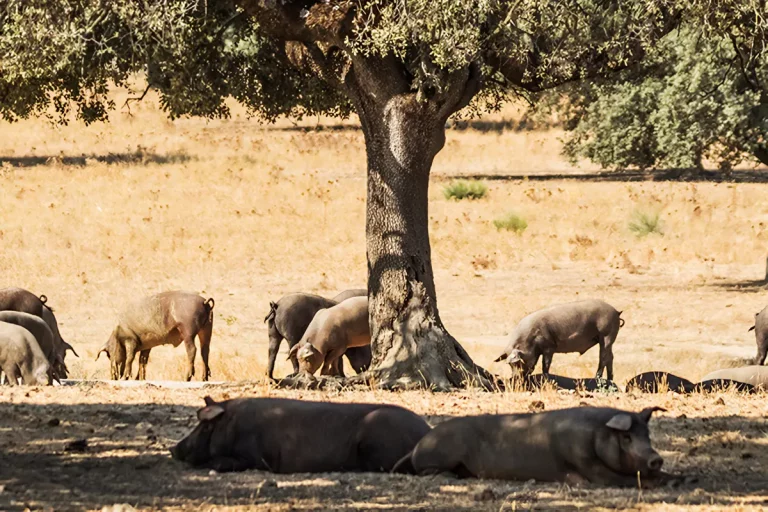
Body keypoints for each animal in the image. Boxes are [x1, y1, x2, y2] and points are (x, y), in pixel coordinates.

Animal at [392, 406, 676, 487]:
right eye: (626, 438)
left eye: (646, 434)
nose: (656, 459)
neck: (597, 435)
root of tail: (416, 447)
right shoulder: (586, 463)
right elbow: (618, 479)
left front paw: (677, 478)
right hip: (439, 455)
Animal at [495, 299, 623, 381]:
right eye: (510, 365)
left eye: (517, 363)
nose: (514, 377)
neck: (529, 339)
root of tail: (616, 312)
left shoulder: (549, 347)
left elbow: (545, 365)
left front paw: (546, 376)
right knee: (610, 357)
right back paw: (609, 379)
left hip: (607, 335)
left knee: (603, 357)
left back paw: (596, 378)